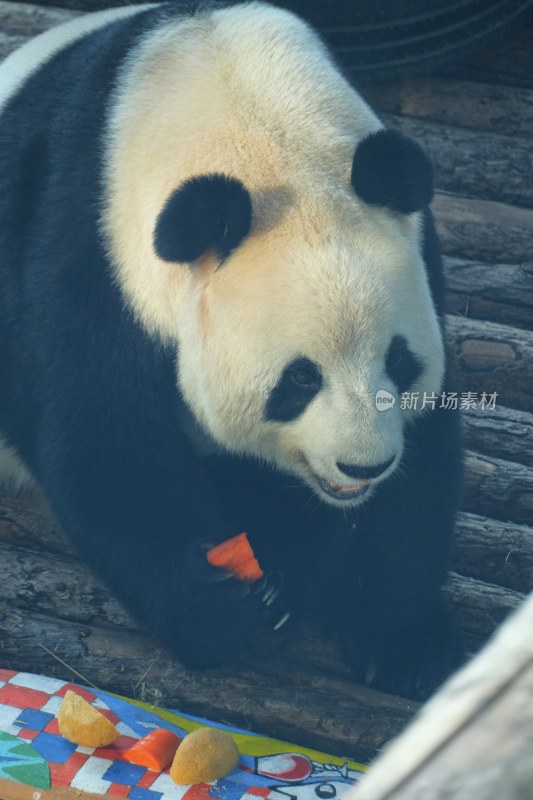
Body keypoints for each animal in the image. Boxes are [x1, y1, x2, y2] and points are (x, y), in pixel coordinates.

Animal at [0, 0, 462, 696]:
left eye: (399, 362)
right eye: (300, 380)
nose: (363, 467)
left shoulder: (417, 252)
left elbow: (426, 449)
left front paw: (400, 640)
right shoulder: (90, 247)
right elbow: (103, 436)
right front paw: (220, 604)